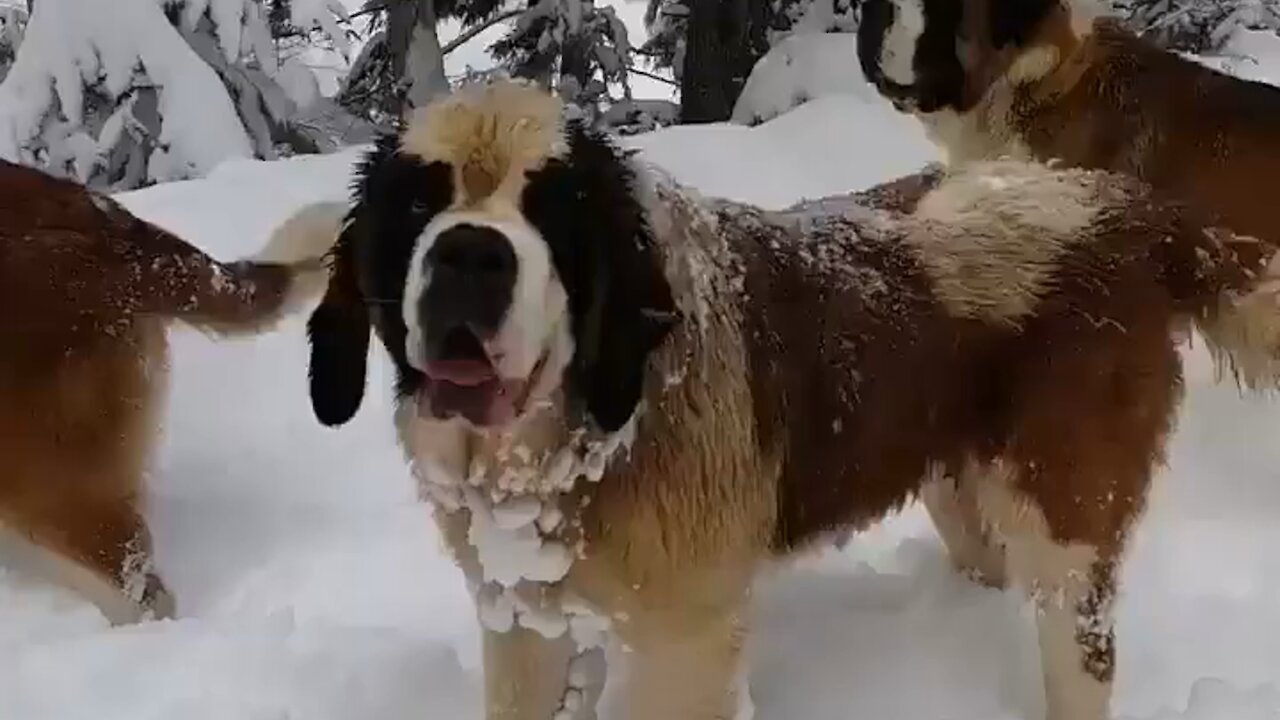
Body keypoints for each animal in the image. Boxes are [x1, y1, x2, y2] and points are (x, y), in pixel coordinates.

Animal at [293, 79, 1280, 717]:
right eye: (415, 206)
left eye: (556, 211)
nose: (469, 254)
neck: (586, 434)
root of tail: (1128, 209)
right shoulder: (519, 620)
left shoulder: (681, 649)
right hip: (960, 490)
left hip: (1064, 522)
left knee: (1080, 646)